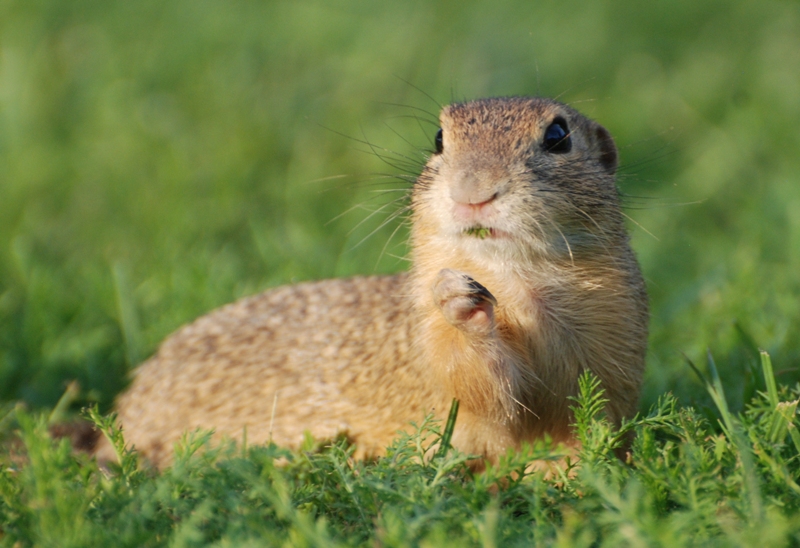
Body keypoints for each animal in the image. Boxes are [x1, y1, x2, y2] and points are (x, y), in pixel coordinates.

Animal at [94, 97, 648, 466]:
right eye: (439, 139)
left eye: (558, 137)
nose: (473, 190)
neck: (517, 281)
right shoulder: (428, 345)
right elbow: (474, 387)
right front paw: (461, 303)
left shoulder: (611, 336)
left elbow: (578, 413)